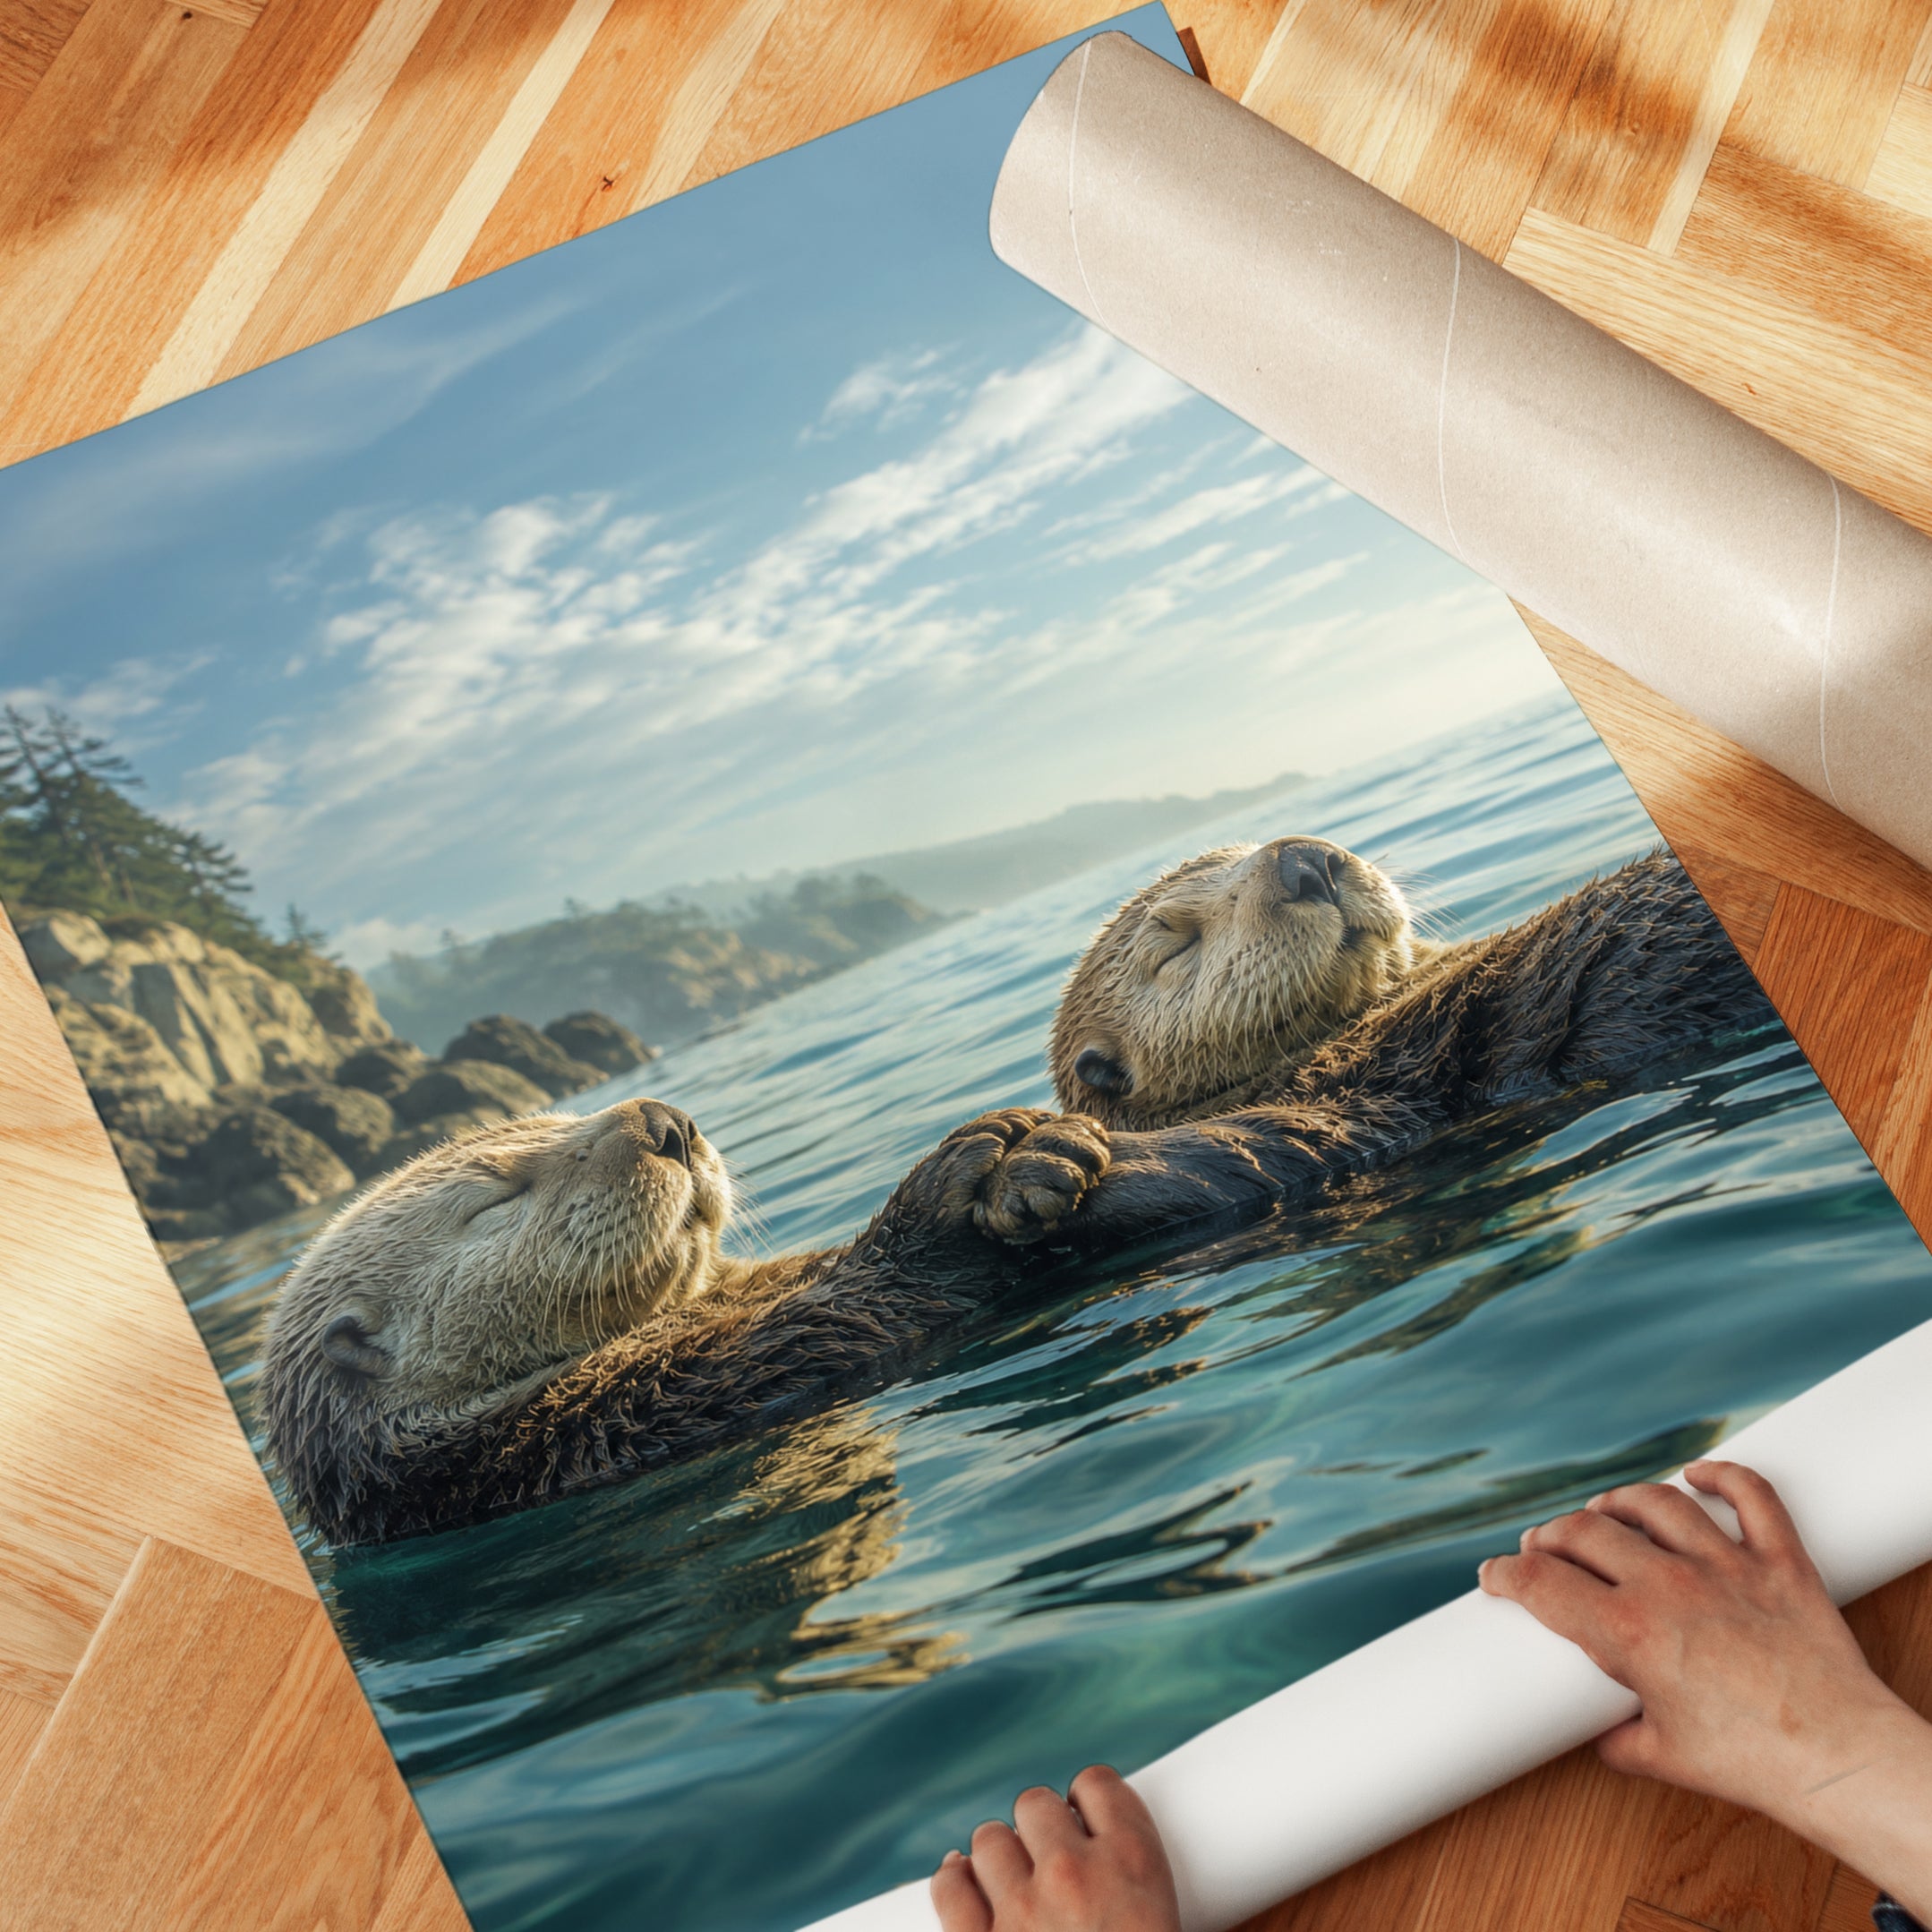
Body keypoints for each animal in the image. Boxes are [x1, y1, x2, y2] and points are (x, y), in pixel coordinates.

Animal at [261, 1098, 1108, 1545]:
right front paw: (980, 1167)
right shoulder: (620, 1413)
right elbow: (833, 1317)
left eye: (564, 1116)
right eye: (493, 1199)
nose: (665, 1122)